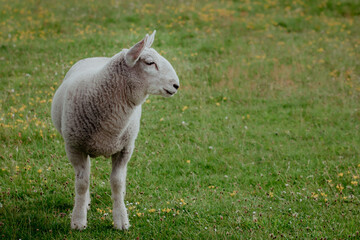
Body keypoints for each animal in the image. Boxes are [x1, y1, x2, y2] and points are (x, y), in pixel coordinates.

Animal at [50, 31, 180, 230]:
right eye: (150, 63)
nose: (176, 85)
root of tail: (96, 56)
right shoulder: (74, 147)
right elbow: (82, 183)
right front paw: (78, 221)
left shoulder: (125, 149)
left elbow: (117, 183)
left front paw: (121, 220)